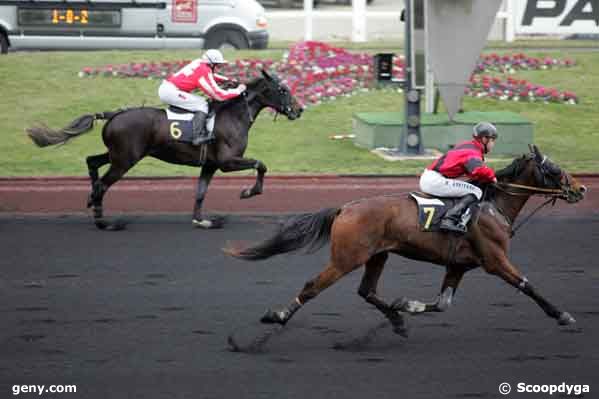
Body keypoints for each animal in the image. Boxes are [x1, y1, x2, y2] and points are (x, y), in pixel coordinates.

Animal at [26, 70, 302, 230]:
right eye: (283, 90)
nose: (299, 110)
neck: (232, 116)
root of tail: (114, 115)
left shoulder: (210, 164)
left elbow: (201, 192)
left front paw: (202, 220)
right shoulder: (227, 161)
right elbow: (261, 164)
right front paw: (248, 192)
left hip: (117, 155)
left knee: (92, 162)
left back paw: (93, 203)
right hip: (124, 160)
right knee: (103, 183)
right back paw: (104, 221)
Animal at [225, 145, 584, 336]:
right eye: (554, 169)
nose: (580, 188)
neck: (493, 207)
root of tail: (345, 207)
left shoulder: (458, 265)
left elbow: (442, 303)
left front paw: (405, 305)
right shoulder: (495, 260)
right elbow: (527, 285)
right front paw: (562, 314)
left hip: (377, 256)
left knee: (366, 291)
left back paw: (397, 320)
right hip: (346, 259)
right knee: (313, 286)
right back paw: (278, 316)